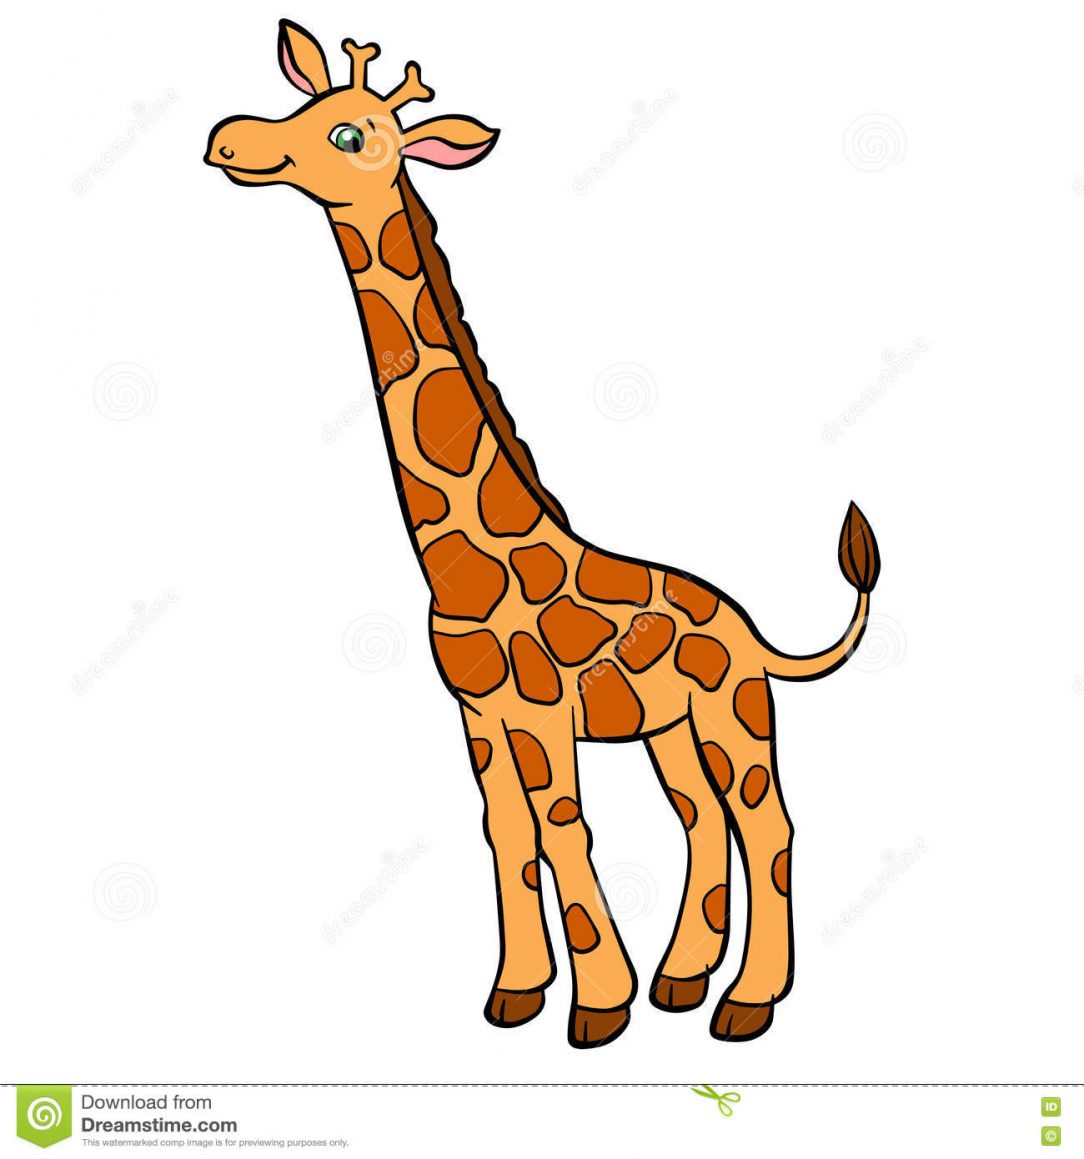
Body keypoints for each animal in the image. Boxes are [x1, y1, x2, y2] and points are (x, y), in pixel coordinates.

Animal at [206, 20, 881, 1048]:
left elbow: (565, 825)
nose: (229, 139)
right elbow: (508, 834)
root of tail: (752, 632)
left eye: (353, 133)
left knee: (767, 824)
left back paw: (747, 1002)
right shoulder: (477, 712)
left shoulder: (539, 710)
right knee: (699, 819)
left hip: (734, 712)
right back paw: (682, 980)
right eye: (301, 103)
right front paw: (519, 993)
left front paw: (599, 1007)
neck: (456, 567)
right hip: (669, 727)